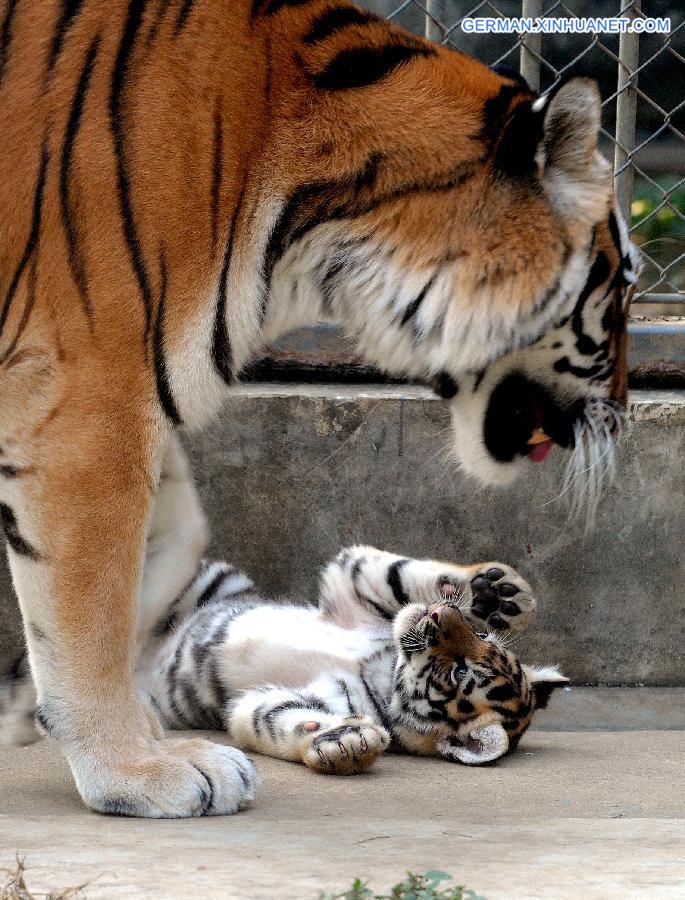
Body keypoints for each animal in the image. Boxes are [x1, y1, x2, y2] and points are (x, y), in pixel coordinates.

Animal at [0, 0, 640, 816]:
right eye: (625, 281)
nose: (621, 413)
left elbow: (175, 542)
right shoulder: (91, 390)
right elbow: (90, 602)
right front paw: (136, 770)